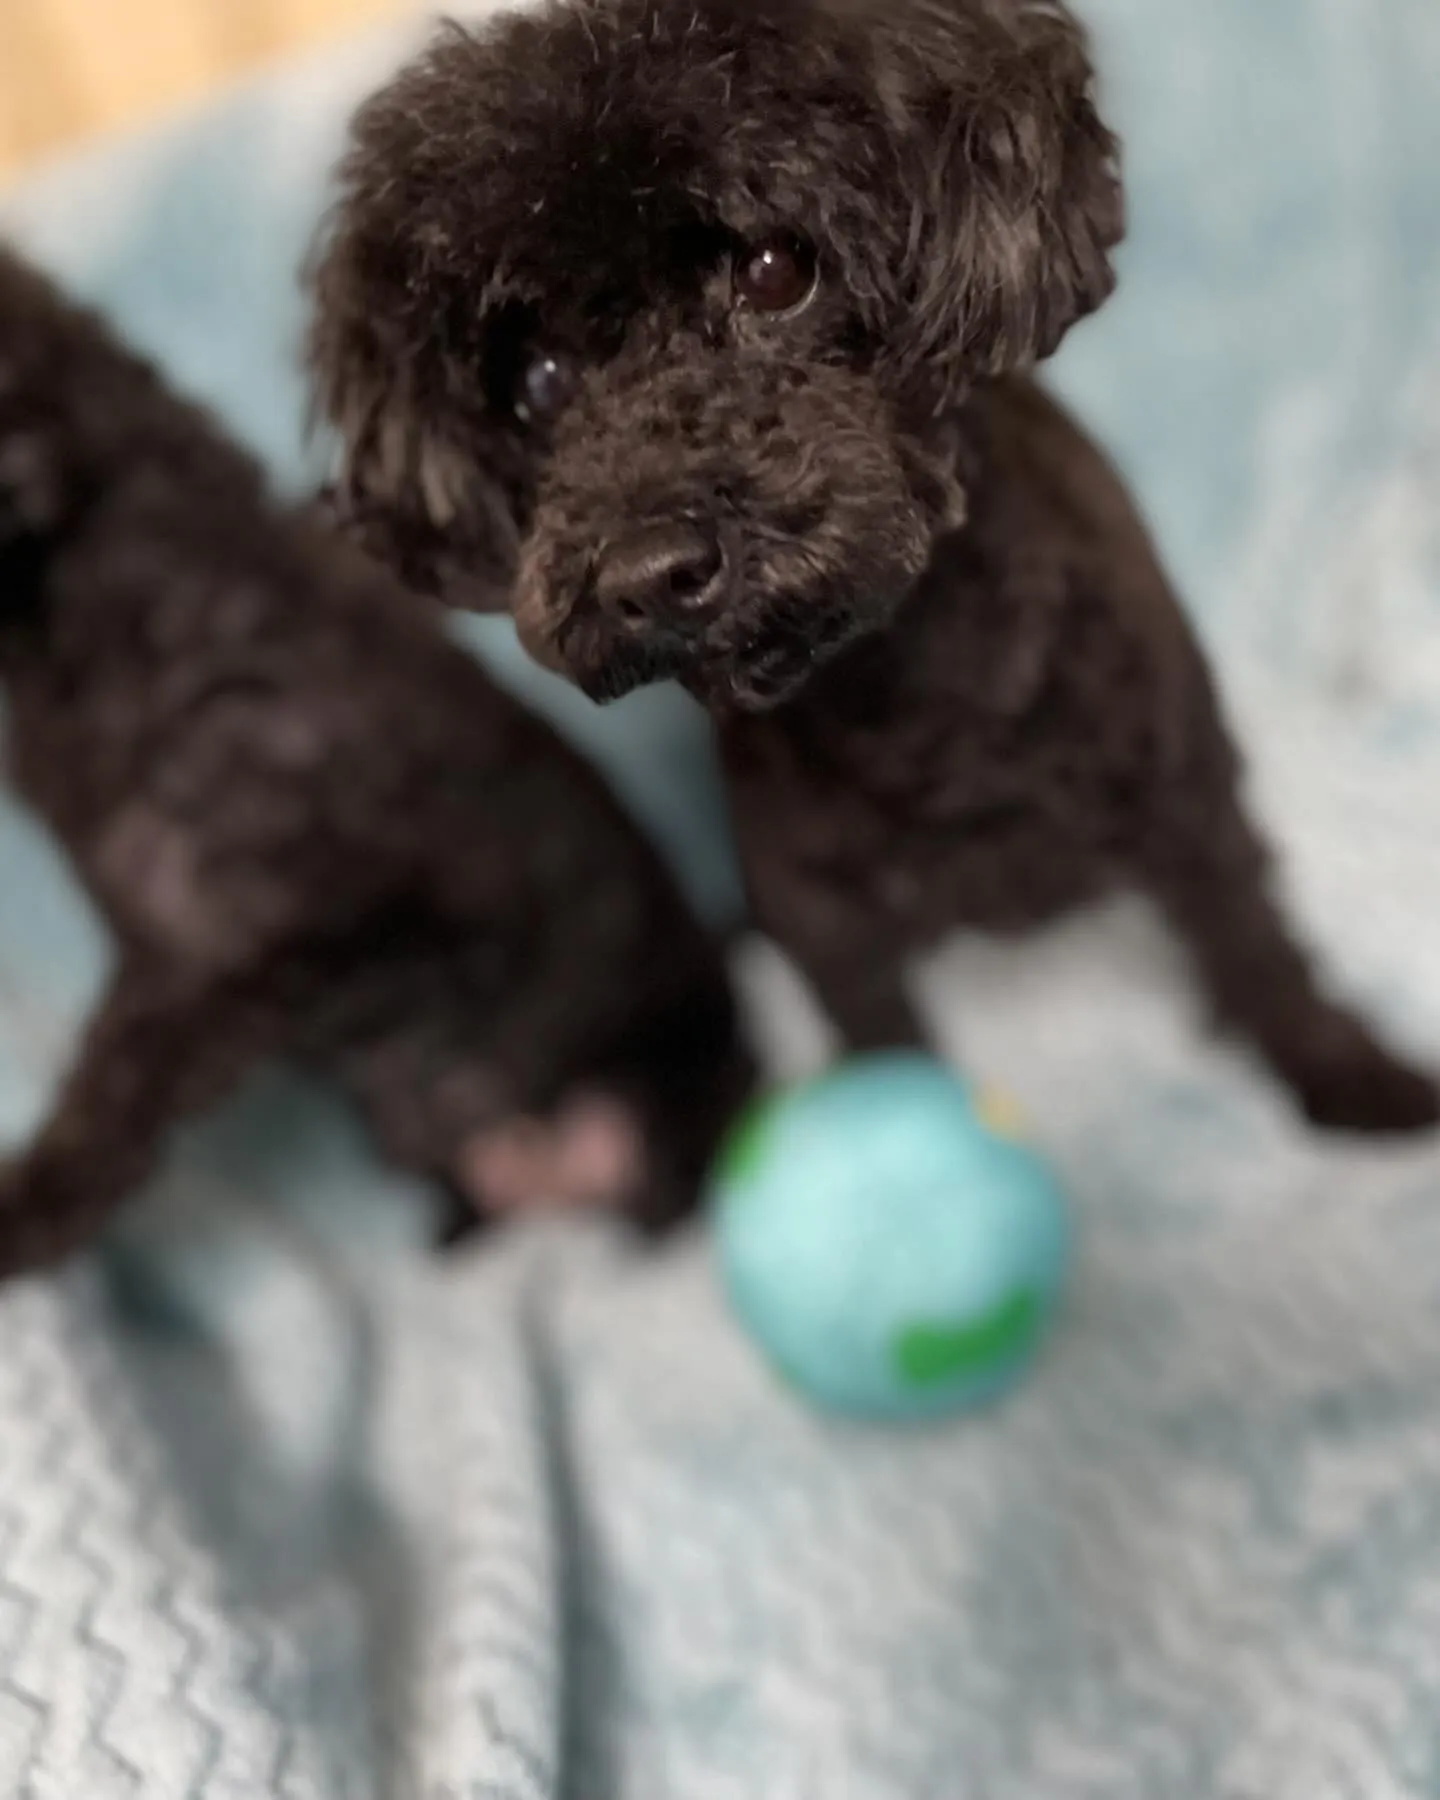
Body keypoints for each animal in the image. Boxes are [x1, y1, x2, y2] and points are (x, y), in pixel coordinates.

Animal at [311, 0, 1440, 1130]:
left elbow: (1255, 946)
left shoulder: (1188, 792)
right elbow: (883, 1037)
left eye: (776, 270)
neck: (909, 688)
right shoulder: (824, 917)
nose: (648, 570)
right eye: (536, 381)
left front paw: (1354, 1080)